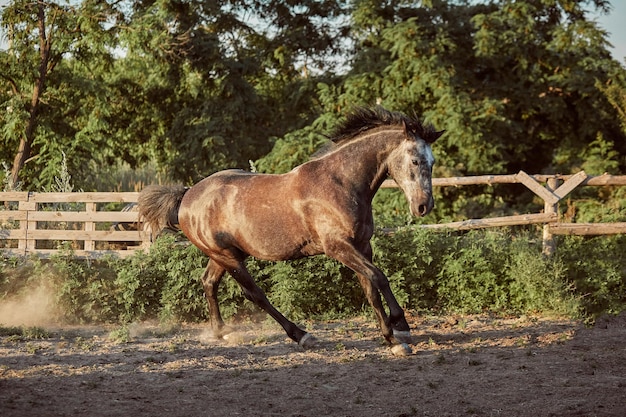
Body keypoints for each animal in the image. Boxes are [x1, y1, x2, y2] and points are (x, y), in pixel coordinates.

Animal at [139, 105, 442, 350]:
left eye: (432, 162)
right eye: (415, 160)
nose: (423, 206)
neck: (341, 184)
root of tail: (187, 196)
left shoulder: (361, 246)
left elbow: (370, 287)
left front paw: (391, 338)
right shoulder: (338, 247)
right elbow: (379, 278)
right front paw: (400, 328)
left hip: (226, 255)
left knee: (208, 282)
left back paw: (222, 332)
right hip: (227, 256)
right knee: (255, 294)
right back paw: (301, 335)